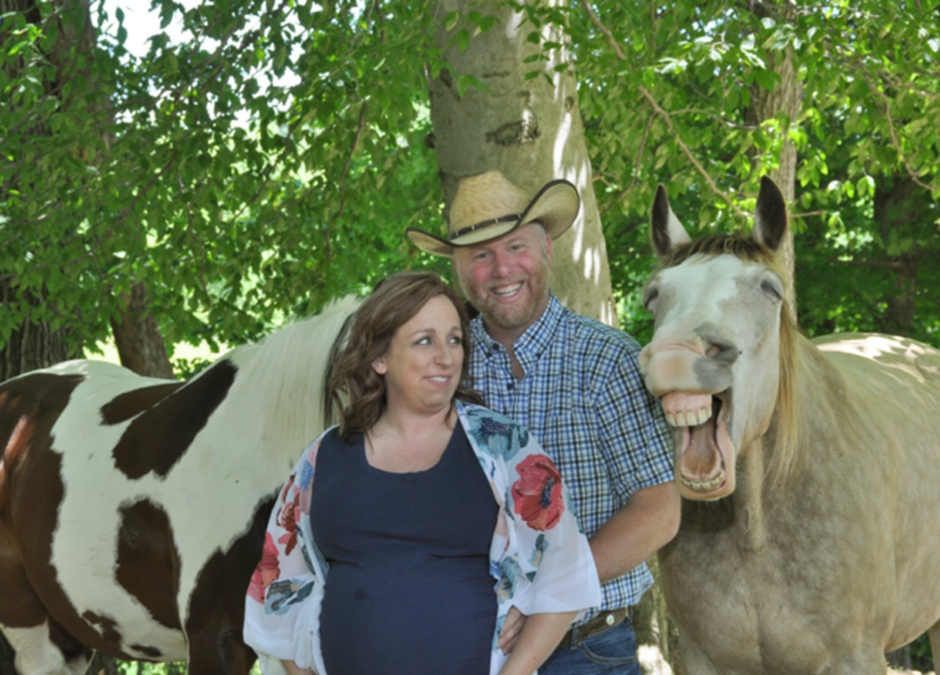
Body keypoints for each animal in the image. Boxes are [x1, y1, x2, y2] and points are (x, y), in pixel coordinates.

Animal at [644, 178, 940, 675]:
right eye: (653, 293)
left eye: (770, 289)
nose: (675, 354)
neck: (755, 533)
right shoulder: (702, 657)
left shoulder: (857, 657)